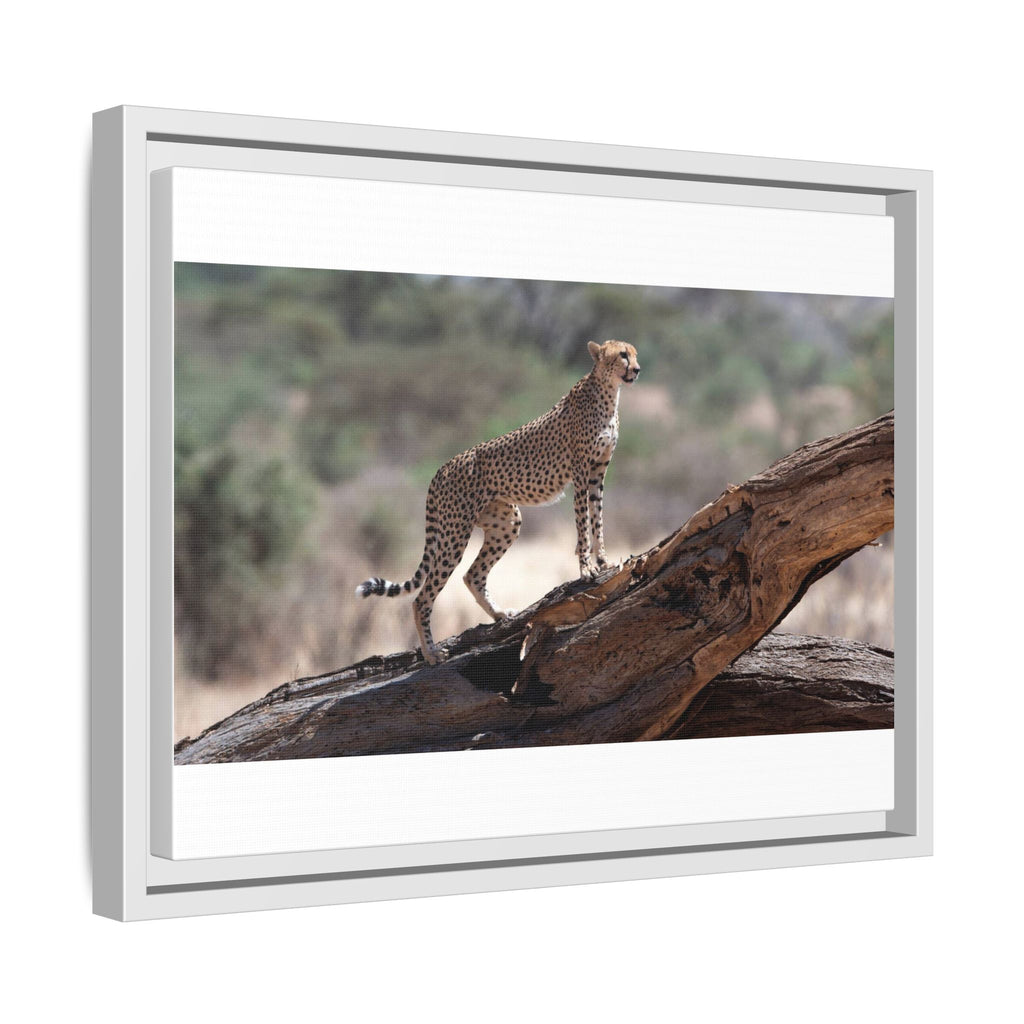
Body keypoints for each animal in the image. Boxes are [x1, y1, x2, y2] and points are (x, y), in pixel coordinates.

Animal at [356, 339, 641, 664]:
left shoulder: (597, 473)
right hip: (454, 533)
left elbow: (597, 518)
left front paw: (604, 560)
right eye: (622, 355)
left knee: (472, 575)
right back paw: (431, 653)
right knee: (423, 597)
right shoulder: (581, 472)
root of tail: (442, 468)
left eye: (634, 354)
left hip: (506, 522)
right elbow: (583, 523)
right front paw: (586, 568)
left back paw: (500, 614)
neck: (608, 392)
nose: (637, 369)